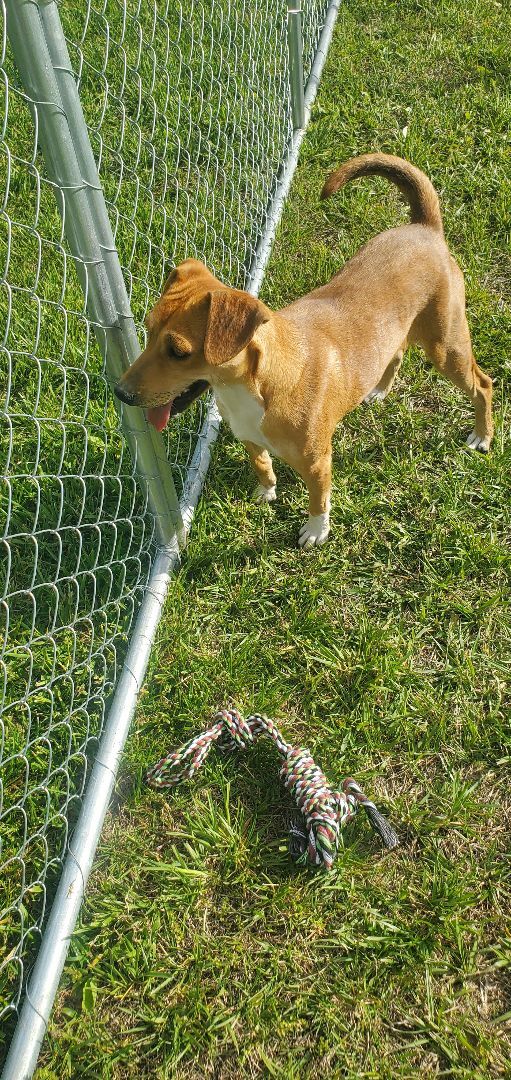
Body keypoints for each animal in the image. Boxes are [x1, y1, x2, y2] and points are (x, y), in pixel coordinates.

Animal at [116, 152, 494, 548]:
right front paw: (266, 492)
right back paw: (378, 389)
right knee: (397, 353)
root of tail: (425, 228)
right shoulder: (248, 437)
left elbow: (318, 498)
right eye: (147, 329)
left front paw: (316, 530)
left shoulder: (316, 462)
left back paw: (482, 436)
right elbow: (262, 465)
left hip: (447, 347)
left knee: (483, 384)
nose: (120, 393)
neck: (257, 385)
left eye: (178, 351)